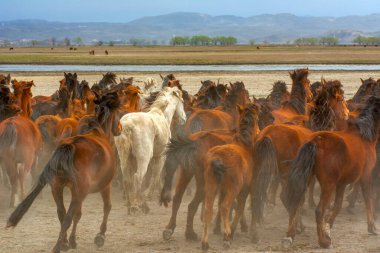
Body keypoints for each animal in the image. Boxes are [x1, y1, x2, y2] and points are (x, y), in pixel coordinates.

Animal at [6, 91, 121, 253]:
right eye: (118, 112)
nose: (119, 129)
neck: (97, 132)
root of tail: (68, 147)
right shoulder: (104, 186)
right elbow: (106, 207)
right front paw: (100, 236)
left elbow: (77, 214)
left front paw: (72, 241)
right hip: (78, 191)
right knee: (67, 217)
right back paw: (58, 245)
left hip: (57, 187)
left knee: (62, 214)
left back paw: (64, 242)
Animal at [200, 103, 260, 249]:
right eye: (258, 119)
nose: (259, 131)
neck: (244, 146)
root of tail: (217, 159)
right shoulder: (245, 189)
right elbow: (239, 209)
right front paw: (230, 234)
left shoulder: (222, 190)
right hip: (234, 188)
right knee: (225, 207)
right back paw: (227, 235)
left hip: (211, 186)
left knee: (208, 210)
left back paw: (205, 243)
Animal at [284, 96, 380, 249]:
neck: (364, 136)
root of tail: (315, 142)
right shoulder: (366, 176)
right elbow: (368, 199)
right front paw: (372, 227)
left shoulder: (342, 183)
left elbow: (338, 206)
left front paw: (328, 227)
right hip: (328, 185)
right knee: (319, 210)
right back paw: (323, 242)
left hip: (309, 179)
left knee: (297, 203)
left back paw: (290, 235)